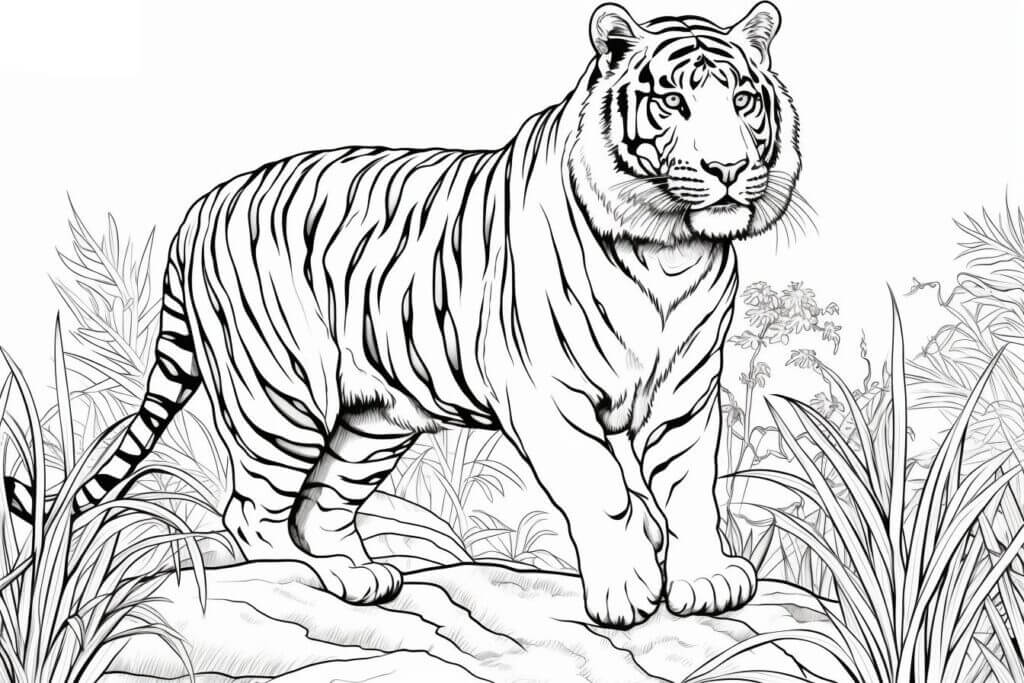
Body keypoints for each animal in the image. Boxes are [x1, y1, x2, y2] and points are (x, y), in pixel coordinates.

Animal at [6, 2, 800, 627]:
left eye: (743, 101)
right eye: (673, 104)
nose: (729, 169)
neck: (671, 252)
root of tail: (199, 208)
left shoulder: (685, 391)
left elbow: (690, 485)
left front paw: (706, 579)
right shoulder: (546, 394)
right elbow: (602, 491)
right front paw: (626, 589)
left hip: (372, 420)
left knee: (317, 506)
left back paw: (362, 577)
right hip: (279, 399)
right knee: (253, 514)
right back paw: (312, 585)